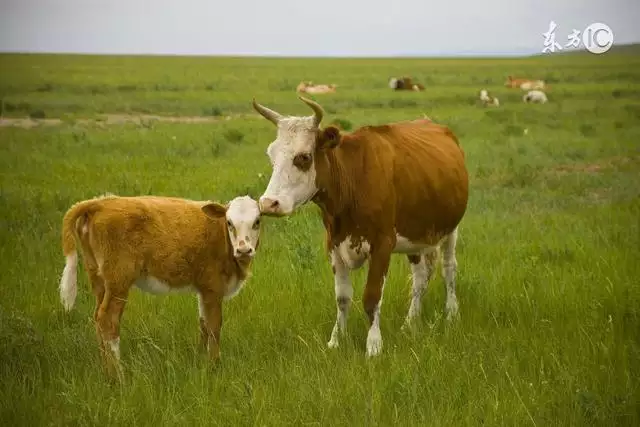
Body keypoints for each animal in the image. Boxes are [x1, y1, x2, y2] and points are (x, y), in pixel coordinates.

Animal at [58, 194, 262, 378]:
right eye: (229, 222)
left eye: (257, 222)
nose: (244, 250)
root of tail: (100, 202)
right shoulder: (213, 287)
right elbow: (214, 326)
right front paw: (213, 366)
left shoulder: (203, 289)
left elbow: (203, 323)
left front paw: (200, 359)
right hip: (119, 280)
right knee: (108, 320)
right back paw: (118, 376)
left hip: (98, 277)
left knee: (97, 317)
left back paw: (106, 370)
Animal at [252, 96, 468, 358]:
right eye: (271, 156)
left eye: (303, 157)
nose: (268, 203)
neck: (353, 182)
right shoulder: (333, 245)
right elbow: (342, 297)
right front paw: (335, 340)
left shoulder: (383, 245)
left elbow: (372, 297)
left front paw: (374, 345)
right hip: (416, 237)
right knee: (420, 278)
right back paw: (410, 323)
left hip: (450, 230)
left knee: (449, 269)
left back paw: (452, 314)